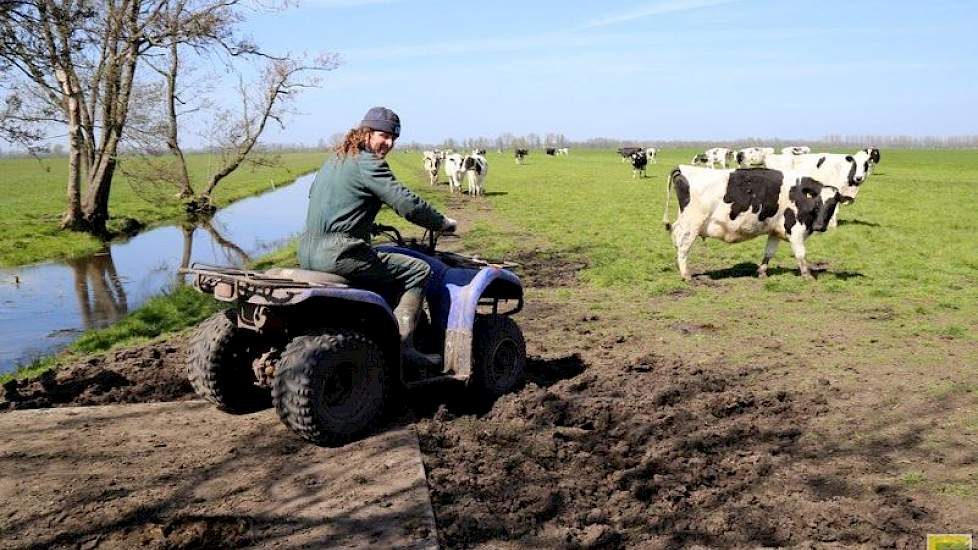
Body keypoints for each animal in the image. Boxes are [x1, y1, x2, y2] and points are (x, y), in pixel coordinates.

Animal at [660, 166, 844, 282]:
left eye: (833, 204)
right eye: (817, 203)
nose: (820, 226)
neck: (800, 195)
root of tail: (684, 169)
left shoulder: (775, 231)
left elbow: (769, 252)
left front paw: (761, 272)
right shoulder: (795, 230)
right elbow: (801, 254)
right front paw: (807, 275)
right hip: (691, 226)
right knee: (683, 248)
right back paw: (686, 275)